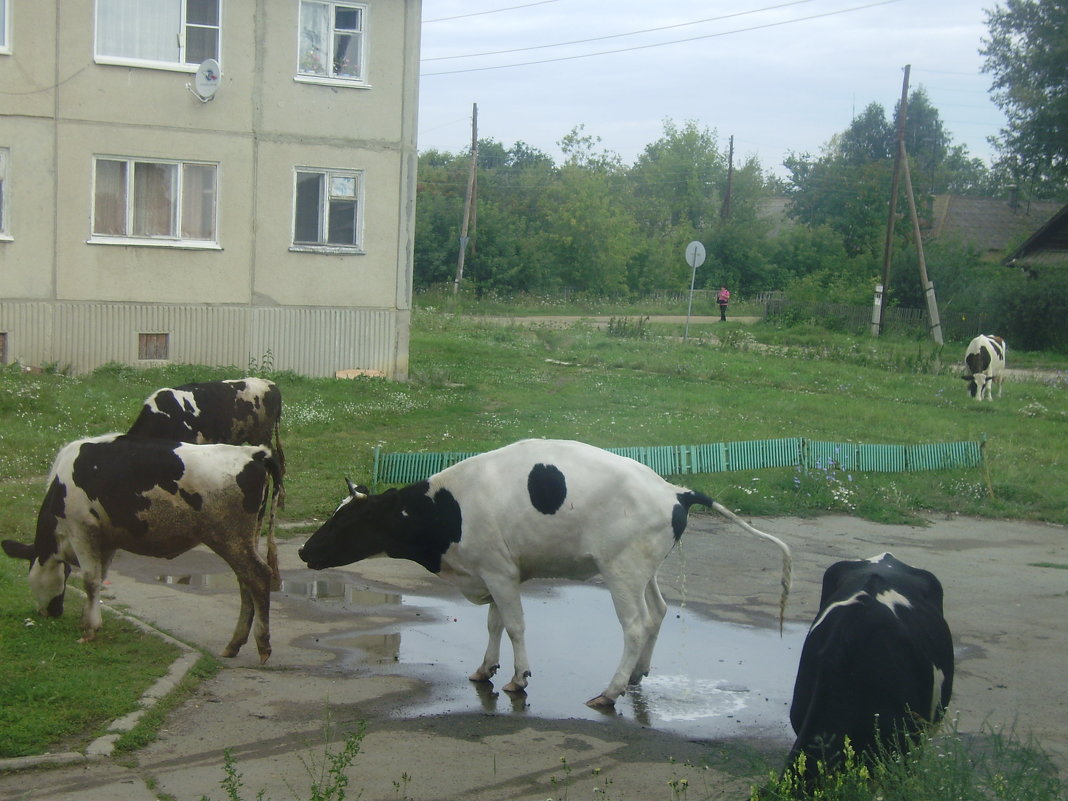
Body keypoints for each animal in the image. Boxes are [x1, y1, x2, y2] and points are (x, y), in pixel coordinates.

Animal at [1, 435, 284, 662]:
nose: (50, 612)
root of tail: (253, 453)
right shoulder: (106, 541)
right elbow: (100, 579)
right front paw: (88, 620)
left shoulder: (81, 530)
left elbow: (90, 581)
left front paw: (89, 630)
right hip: (244, 537)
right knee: (245, 583)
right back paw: (234, 644)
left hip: (230, 537)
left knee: (258, 576)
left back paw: (262, 646)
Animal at [294, 440, 794, 709]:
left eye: (344, 521)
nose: (302, 550)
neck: (449, 510)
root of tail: (675, 490)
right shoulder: (492, 572)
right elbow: (494, 624)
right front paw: (485, 668)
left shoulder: (499, 572)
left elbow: (514, 625)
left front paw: (519, 677)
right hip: (643, 571)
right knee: (659, 611)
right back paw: (637, 676)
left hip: (621, 572)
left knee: (635, 625)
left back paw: (610, 691)